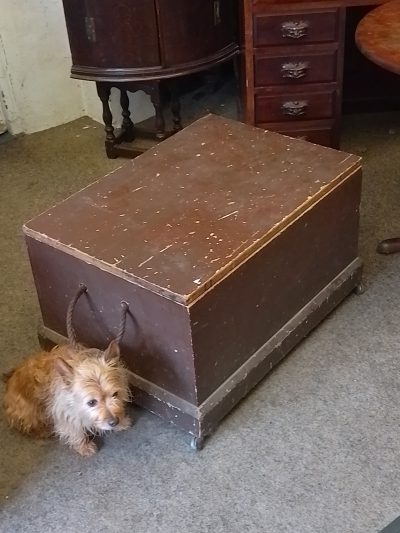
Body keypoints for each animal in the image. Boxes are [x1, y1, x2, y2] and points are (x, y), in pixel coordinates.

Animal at [3, 338, 131, 456]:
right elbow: (74, 430)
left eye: (115, 394)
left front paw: (121, 422)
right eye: (91, 402)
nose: (114, 422)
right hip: (29, 412)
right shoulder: (64, 412)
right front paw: (83, 446)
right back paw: (43, 431)